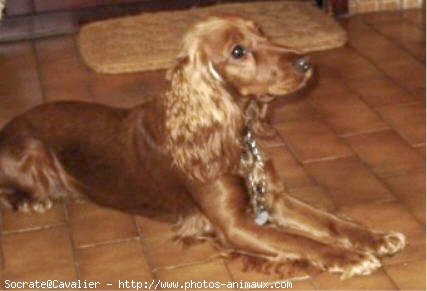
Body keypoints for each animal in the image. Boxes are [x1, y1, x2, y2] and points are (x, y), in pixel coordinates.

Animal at [0, 16, 404, 280]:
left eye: (262, 32)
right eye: (238, 51)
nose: (307, 62)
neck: (227, 135)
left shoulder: (271, 198)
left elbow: (329, 221)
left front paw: (375, 238)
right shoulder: (233, 226)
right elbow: (301, 242)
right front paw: (350, 258)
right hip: (33, 153)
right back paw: (32, 201)